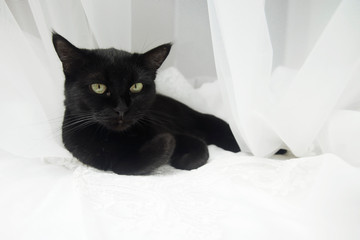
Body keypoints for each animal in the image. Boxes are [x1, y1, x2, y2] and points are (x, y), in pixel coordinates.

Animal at [52, 32, 240, 174]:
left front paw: (180, 158)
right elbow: (127, 164)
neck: (123, 137)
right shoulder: (99, 156)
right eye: (98, 87)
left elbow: (199, 149)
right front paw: (166, 145)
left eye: (136, 86)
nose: (121, 109)